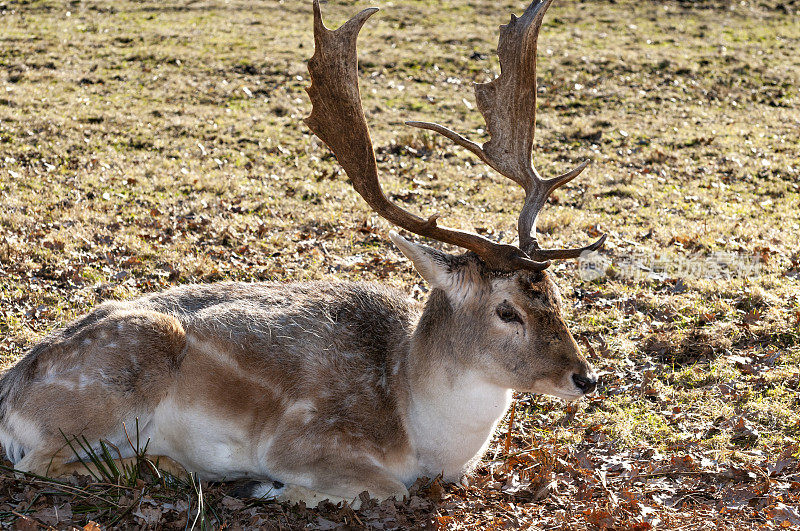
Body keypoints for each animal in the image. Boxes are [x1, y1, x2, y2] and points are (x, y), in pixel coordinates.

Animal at [0, 0, 604, 508]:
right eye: (507, 310)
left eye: (555, 295)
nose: (586, 378)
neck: (420, 428)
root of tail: (9, 396)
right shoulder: (303, 439)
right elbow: (386, 488)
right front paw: (273, 488)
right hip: (109, 388)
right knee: (37, 464)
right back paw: (170, 468)